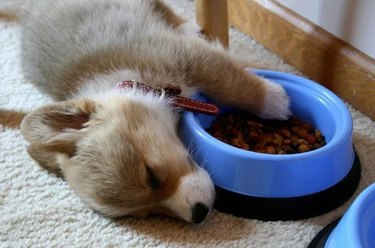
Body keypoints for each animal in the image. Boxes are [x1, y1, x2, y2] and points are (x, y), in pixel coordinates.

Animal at [1, 0, 292, 224]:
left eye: (151, 175)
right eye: (147, 213)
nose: (199, 214)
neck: (128, 81)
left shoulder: (189, 57)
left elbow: (232, 83)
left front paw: (275, 100)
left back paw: (189, 25)